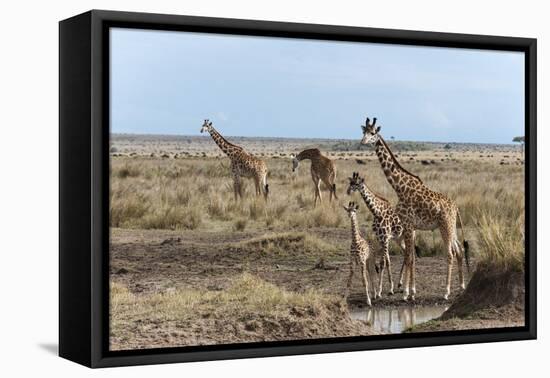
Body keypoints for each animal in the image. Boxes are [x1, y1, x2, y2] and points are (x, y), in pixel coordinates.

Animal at [360, 116, 472, 300]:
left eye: (373, 133)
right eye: (363, 132)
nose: (362, 142)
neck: (399, 188)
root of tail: (456, 207)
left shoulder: (408, 224)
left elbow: (408, 257)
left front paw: (406, 293)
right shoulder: (410, 227)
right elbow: (410, 256)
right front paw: (411, 291)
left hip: (445, 226)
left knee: (450, 253)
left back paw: (446, 292)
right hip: (451, 227)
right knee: (459, 250)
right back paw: (461, 286)